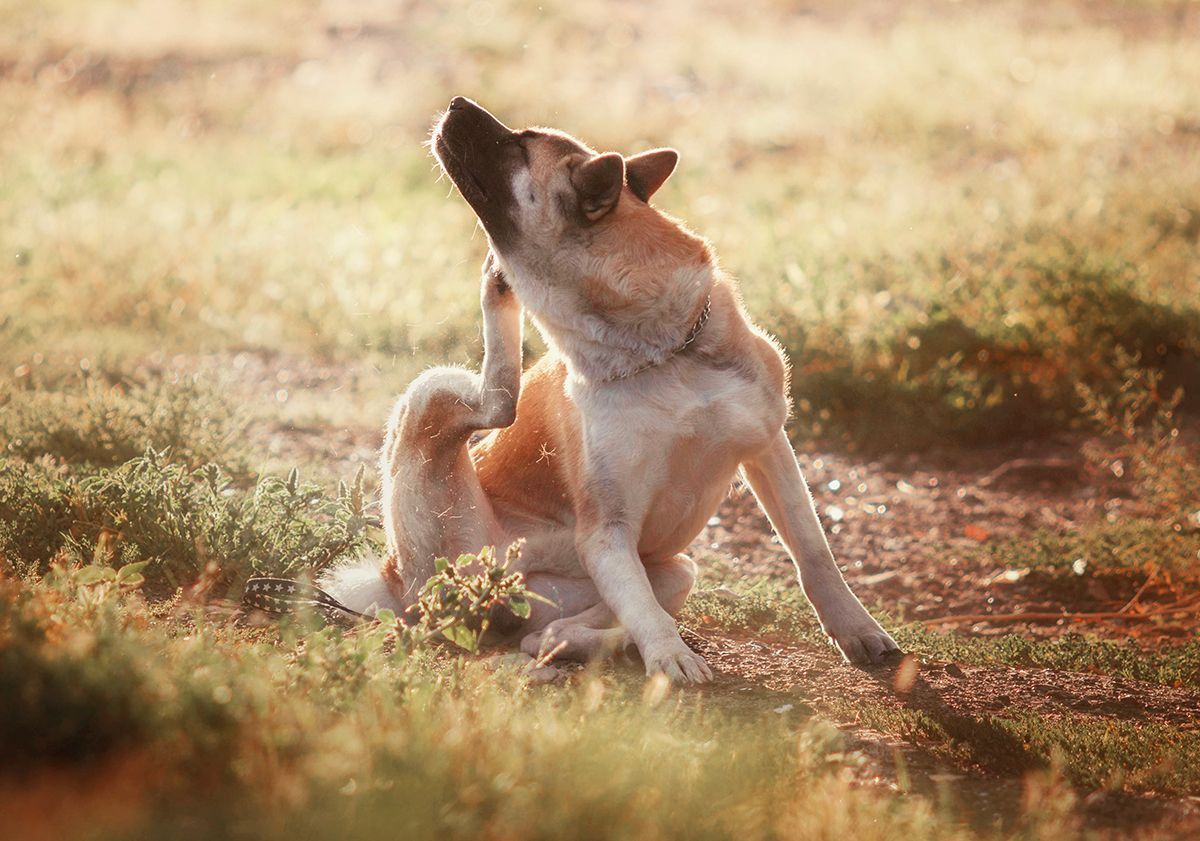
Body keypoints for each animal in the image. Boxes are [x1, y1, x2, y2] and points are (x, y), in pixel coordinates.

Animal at [324, 96, 897, 681]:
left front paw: (856, 628)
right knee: (496, 403)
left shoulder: (768, 448)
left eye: (519, 144)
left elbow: (813, 553)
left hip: (673, 570)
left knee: (556, 629)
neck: (661, 353)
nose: (457, 102)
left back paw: (565, 642)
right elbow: (644, 609)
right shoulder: (606, 530)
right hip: (433, 413)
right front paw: (669, 654)